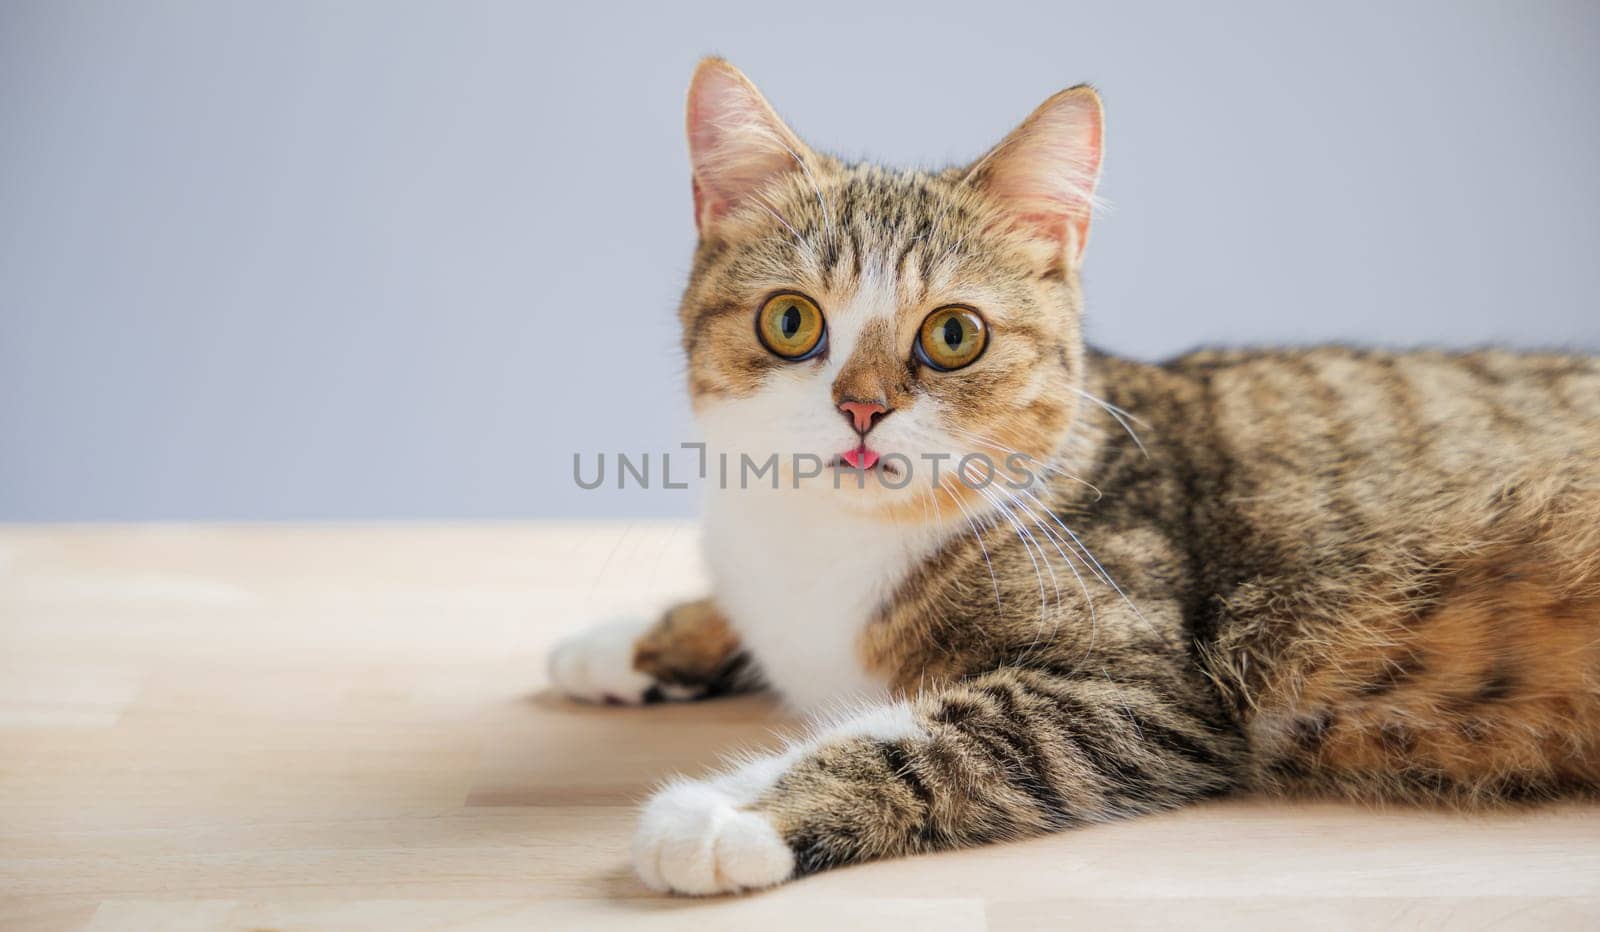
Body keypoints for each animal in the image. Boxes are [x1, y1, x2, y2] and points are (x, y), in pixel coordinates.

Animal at [547, 58, 1600, 896]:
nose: (861, 407)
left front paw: (734, 812)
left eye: (954, 335)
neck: (830, 546)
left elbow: (951, 736)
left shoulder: (1147, 693)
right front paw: (636, 637)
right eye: (791, 321)